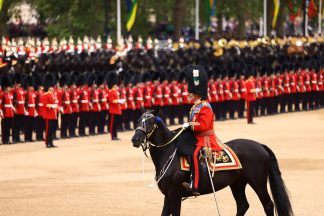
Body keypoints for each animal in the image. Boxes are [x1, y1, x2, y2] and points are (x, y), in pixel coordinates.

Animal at [132, 109, 294, 215]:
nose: (135, 139)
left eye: (151, 122)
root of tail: (260, 145)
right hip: (237, 183)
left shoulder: (175, 194)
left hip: (258, 182)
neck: (168, 154)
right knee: (243, 205)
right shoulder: (168, 195)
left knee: (268, 205)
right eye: (139, 121)